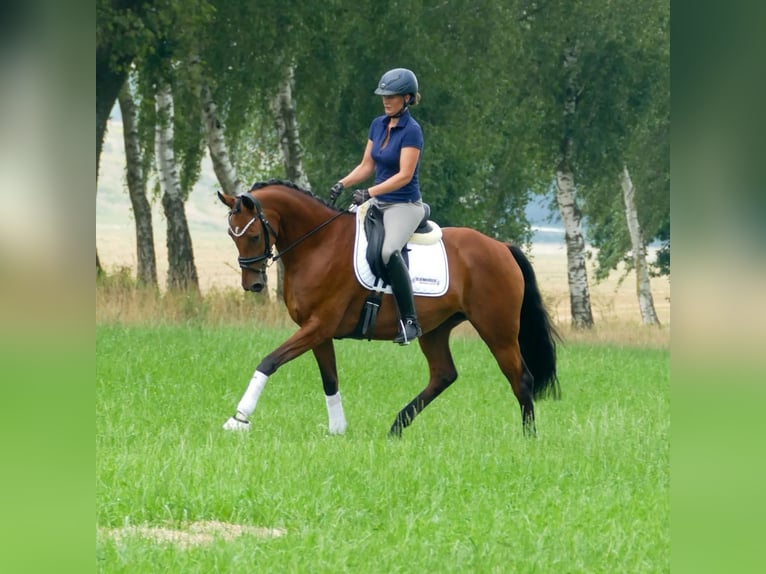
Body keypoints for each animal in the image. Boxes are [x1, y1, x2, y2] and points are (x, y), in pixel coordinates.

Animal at [219, 178, 560, 438]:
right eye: (231, 236)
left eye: (252, 235)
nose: (253, 284)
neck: (318, 244)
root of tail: (501, 247)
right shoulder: (317, 331)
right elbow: (330, 379)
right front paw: (337, 431)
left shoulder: (319, 325)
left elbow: (269, 361)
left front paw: (239, 418)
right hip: (435, 329)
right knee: (443, 375)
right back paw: (397, 426)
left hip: (497, 330)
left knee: (521, 378)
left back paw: (528, 438)